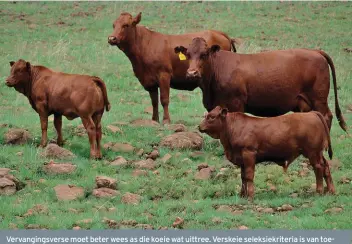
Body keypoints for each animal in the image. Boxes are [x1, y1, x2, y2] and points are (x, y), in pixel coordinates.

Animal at [108, 11, 238, 124]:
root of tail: (219, 33)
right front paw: (154, 120)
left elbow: (164, 99)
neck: (145, 45)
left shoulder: (164, 75)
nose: (111, 38)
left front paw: (166, 120)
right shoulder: (149, 81)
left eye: (126, 25)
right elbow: (154, 101)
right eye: (113, 25)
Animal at [173, 37, 346, 132]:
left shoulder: (236, 104)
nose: (192, 73)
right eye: (188, 55)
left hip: (318, 98)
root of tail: (315, 51)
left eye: (204, 54)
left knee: (327, 116)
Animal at [198, 106, 336, 199]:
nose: (199, 127)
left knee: (318, 168)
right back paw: (331, 191)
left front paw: (250, 196)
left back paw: (319, 191)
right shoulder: (241, 159)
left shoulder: (249, 154)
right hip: (318, 153)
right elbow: (243, 177)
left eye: (211, 117)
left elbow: (249, 176)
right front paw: (242, 195)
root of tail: (312, 113)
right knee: (326, 167)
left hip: (312, 152)